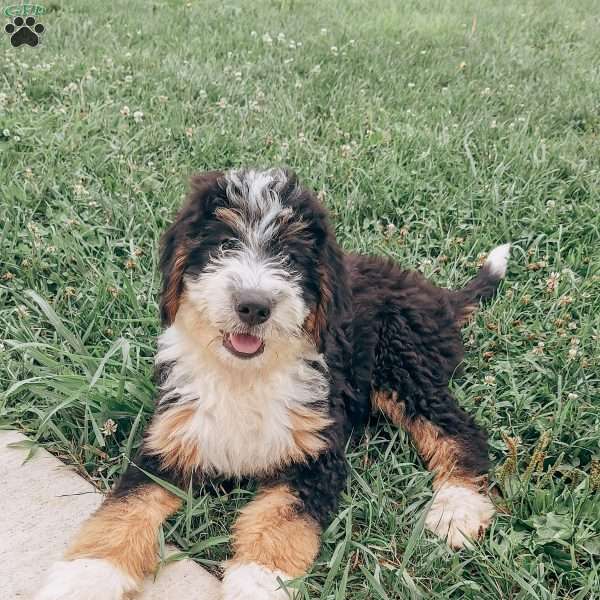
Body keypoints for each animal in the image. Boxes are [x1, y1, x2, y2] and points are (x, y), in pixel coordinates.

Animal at [35, 169, 508, 600]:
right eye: (224, 244)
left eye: (290, 258)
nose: (253, 305)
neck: (245, 375)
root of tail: (436, 297)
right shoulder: (171, 438)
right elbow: (126, 507)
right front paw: (86, 578)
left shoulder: (316, 455)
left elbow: (280, 522)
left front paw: (256, 581)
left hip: (403, 368)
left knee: (457, 429)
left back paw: (457, 509)